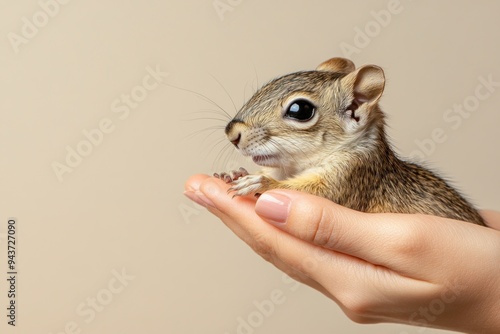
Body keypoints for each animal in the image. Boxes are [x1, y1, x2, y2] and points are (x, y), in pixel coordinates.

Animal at [214, 57, 484, 226]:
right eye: (268, 85)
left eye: (300, 110)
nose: (232, 133)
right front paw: (233, 173)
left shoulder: (350, 178)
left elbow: (316, 194)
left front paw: (261, 182)